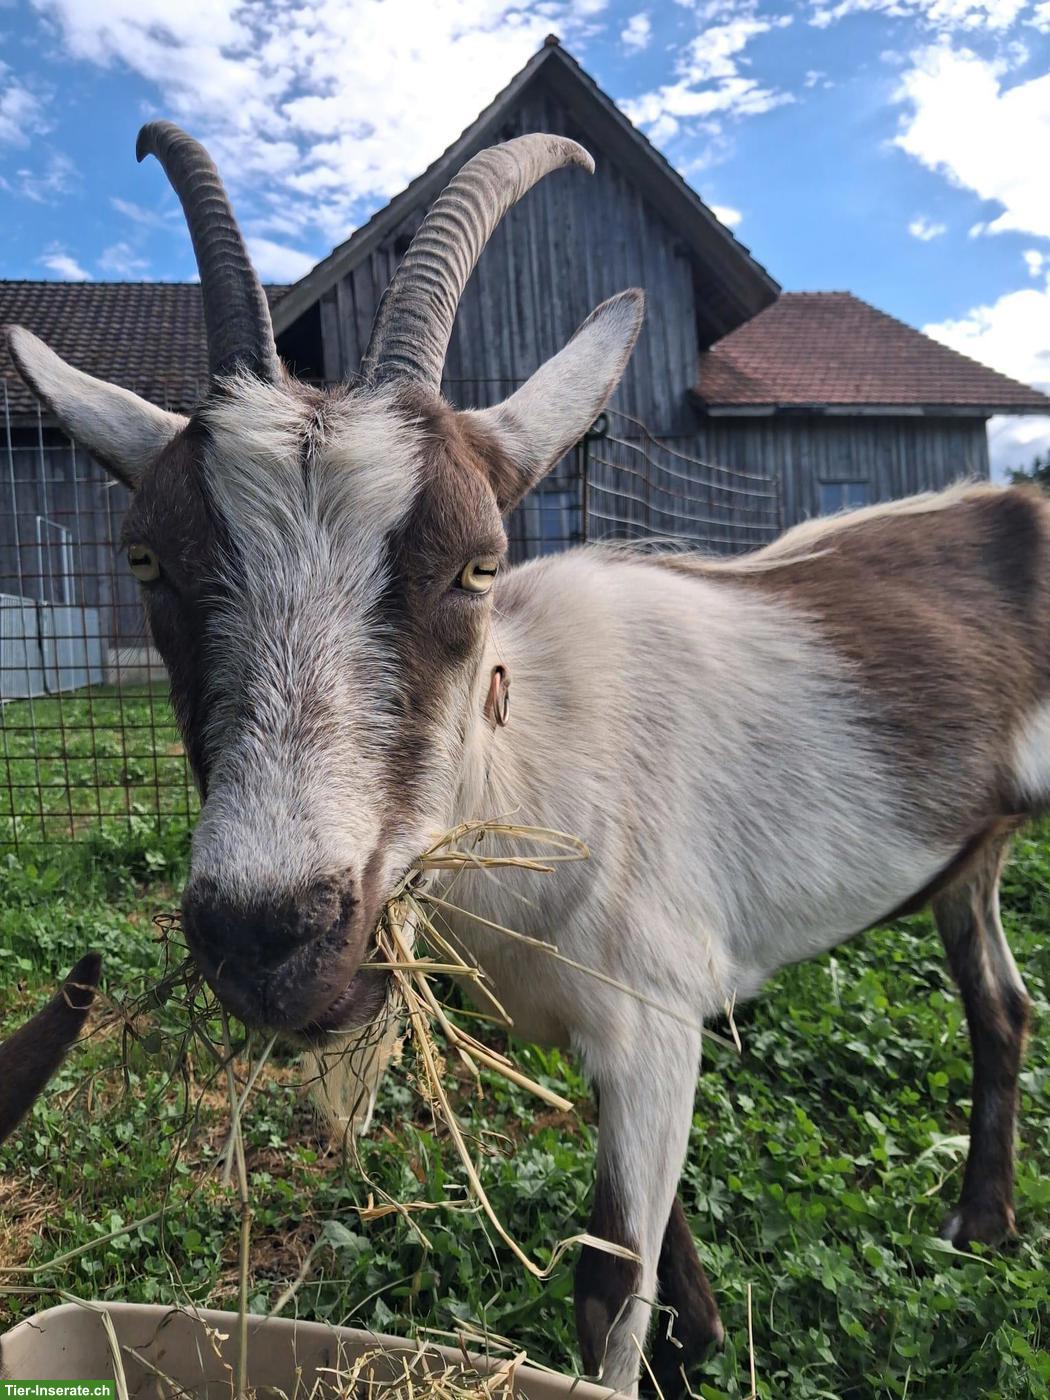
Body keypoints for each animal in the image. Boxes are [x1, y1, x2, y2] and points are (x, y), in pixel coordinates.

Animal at [5, 124, 1042, 1395]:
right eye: (146, 556)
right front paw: (701, 1341)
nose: (267, 938)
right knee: (999, 1002)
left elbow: (609, 1282)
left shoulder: (654, 1014)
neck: (538, 771)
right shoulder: (627, 1033)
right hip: (970, 856)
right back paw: (980, 1223)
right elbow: (660, 1242)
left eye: (476, 563)